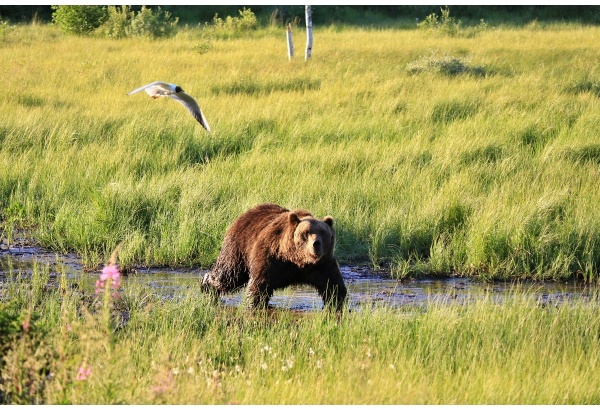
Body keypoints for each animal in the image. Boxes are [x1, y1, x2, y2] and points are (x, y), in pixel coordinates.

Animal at [203, 203, 346, 312]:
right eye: (306, 232)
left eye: (323, 232)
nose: (316, 244)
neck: (298, 260)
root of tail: (244, 214)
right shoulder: (271, 258)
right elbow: (259, 285)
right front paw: (254, 304)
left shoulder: (323, 264)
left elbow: (333, 286)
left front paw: (336, 304)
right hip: (239, 248)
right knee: (229, 275)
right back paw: (207, 286)